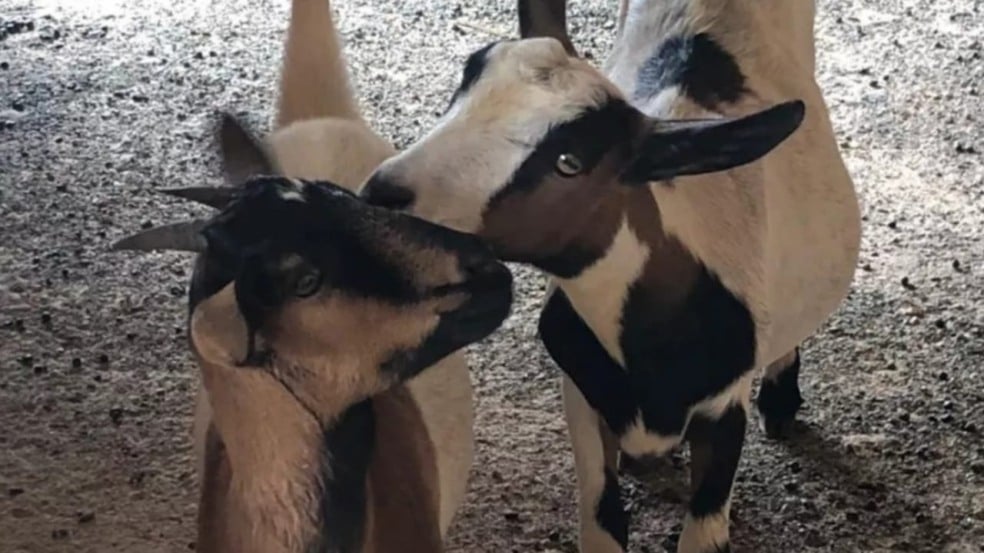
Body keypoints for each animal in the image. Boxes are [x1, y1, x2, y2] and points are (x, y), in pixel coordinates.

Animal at [359, 1, 861, 552]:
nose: (382, 196)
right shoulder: (582, 396)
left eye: (569, 162)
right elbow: (604, 523)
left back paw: (780, 399)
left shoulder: (725, 409)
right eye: (466, 82)